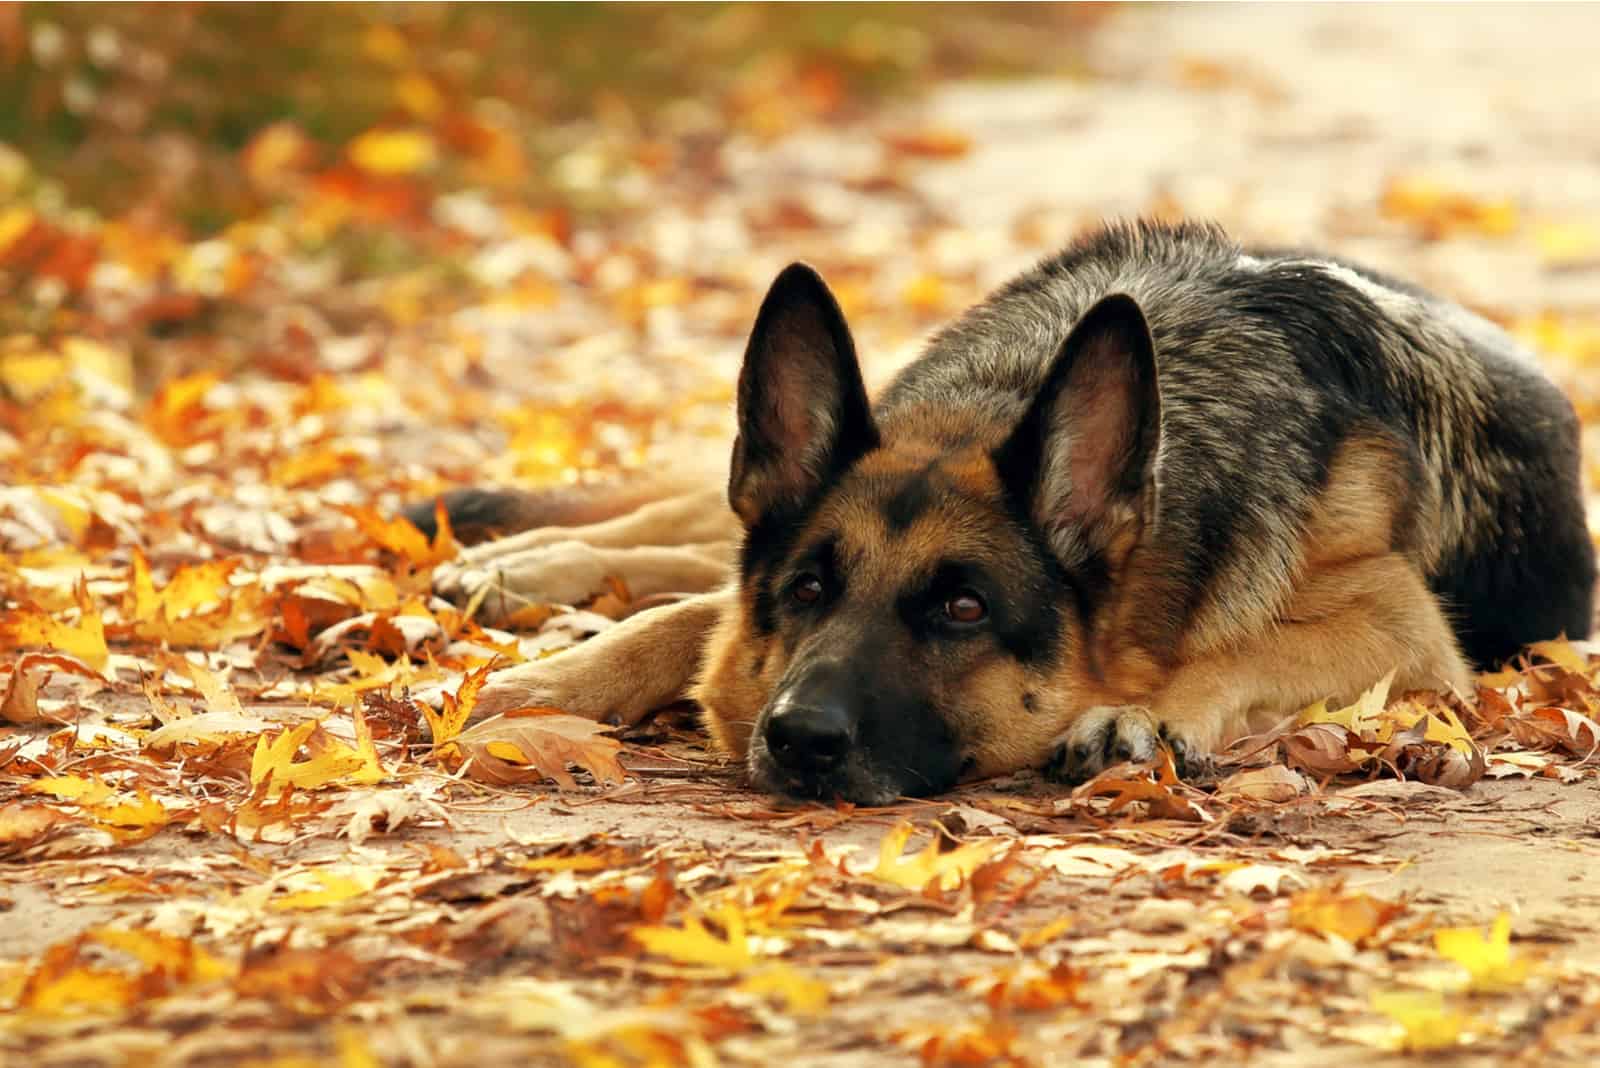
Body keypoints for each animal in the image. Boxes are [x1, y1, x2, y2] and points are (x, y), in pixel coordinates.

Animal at [419, 219, 1593, 799]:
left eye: (964, 611)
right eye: (807, 589)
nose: (797, 737)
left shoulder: (1408, 632)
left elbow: (1246, 651)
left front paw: (1141, 714)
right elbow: (691, 616)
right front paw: (553, 678)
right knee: (683, 531)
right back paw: (517, 559)